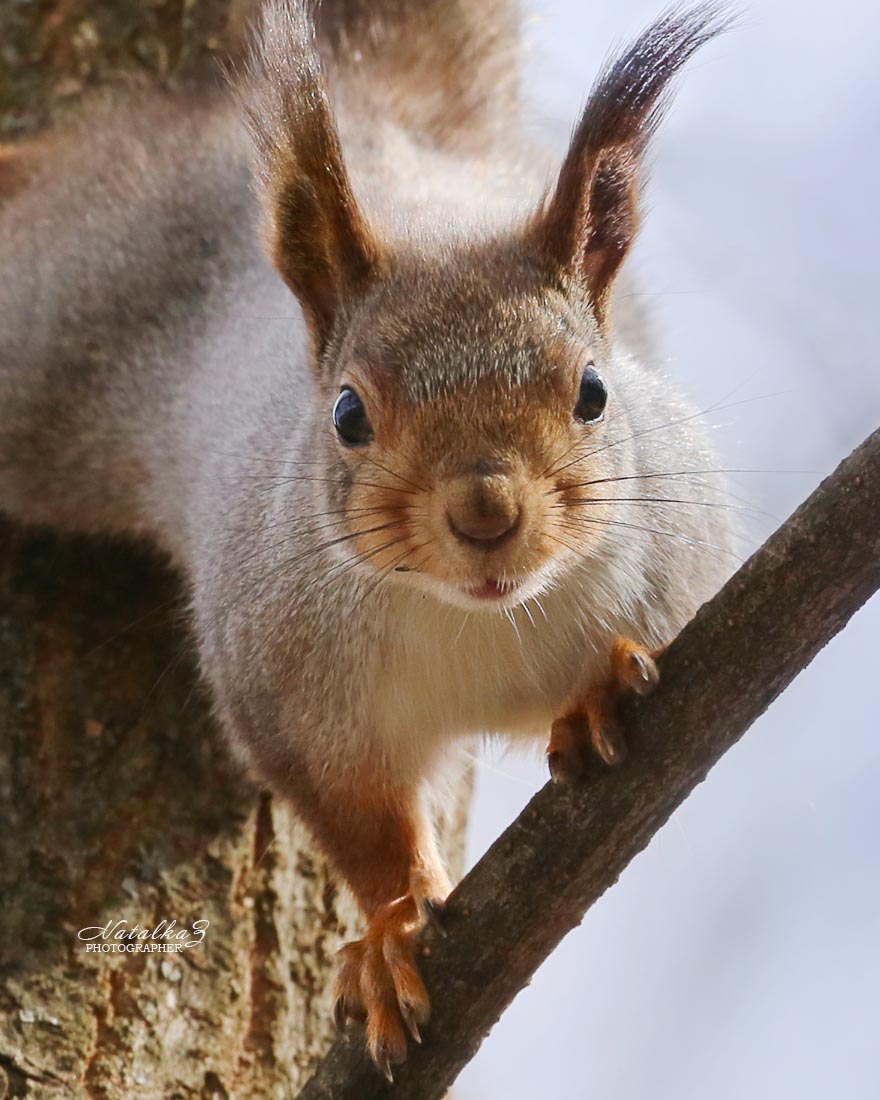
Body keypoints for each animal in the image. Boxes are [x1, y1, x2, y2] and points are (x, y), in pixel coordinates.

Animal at [0, 0, 734, 1082]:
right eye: (348, 413)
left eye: (595, 392)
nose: (485, 513)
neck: (475, 619)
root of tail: (385, 114)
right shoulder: (286, 683)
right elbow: (356, 819)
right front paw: (392, 933)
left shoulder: (684, 562)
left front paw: (601, 685)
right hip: (59, 317)